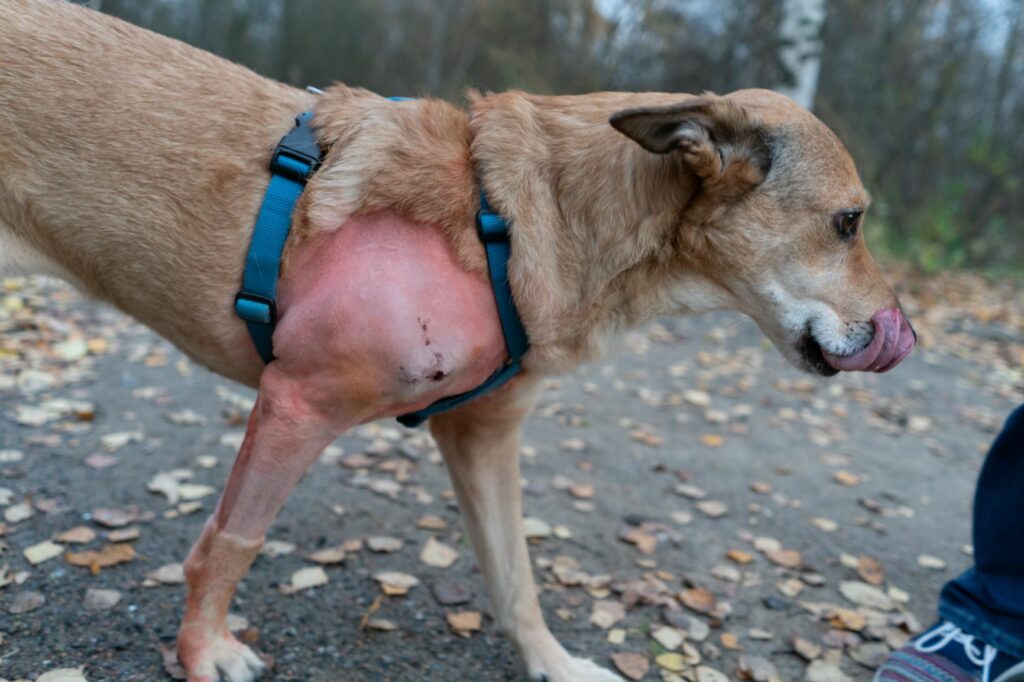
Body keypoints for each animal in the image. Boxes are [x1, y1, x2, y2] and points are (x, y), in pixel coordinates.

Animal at [0, 2, 913, 675]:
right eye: (848, 222)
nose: (903, 333)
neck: (504, 220)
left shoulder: (481, 434)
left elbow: (516, 581)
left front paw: (554, 664)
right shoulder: (297, 405)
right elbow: (230, 545)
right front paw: (199, 654)